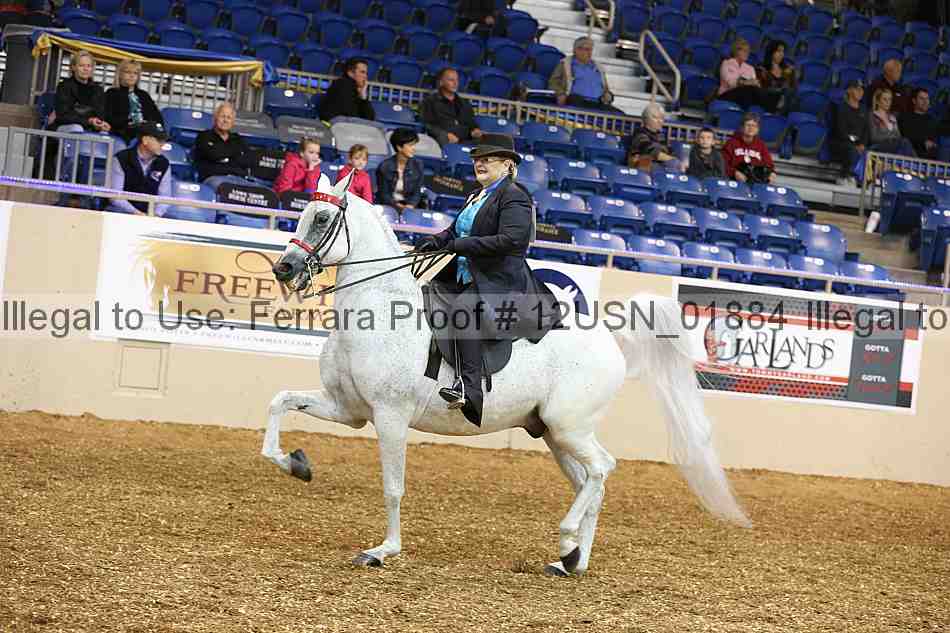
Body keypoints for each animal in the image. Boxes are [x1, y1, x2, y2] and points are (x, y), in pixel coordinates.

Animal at [262, 171, 751, 577]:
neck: (379, 313)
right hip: (554, 434)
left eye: (322, 218)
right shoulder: (348, 410)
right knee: (591, 483)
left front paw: (383, 551)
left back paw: (568, 539)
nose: (284, 268)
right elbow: (279, 402)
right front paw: (295, 464)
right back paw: (571, 560)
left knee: (602, 469)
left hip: (569, 427)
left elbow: (393, 487)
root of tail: (612, 342)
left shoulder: (389, 416)